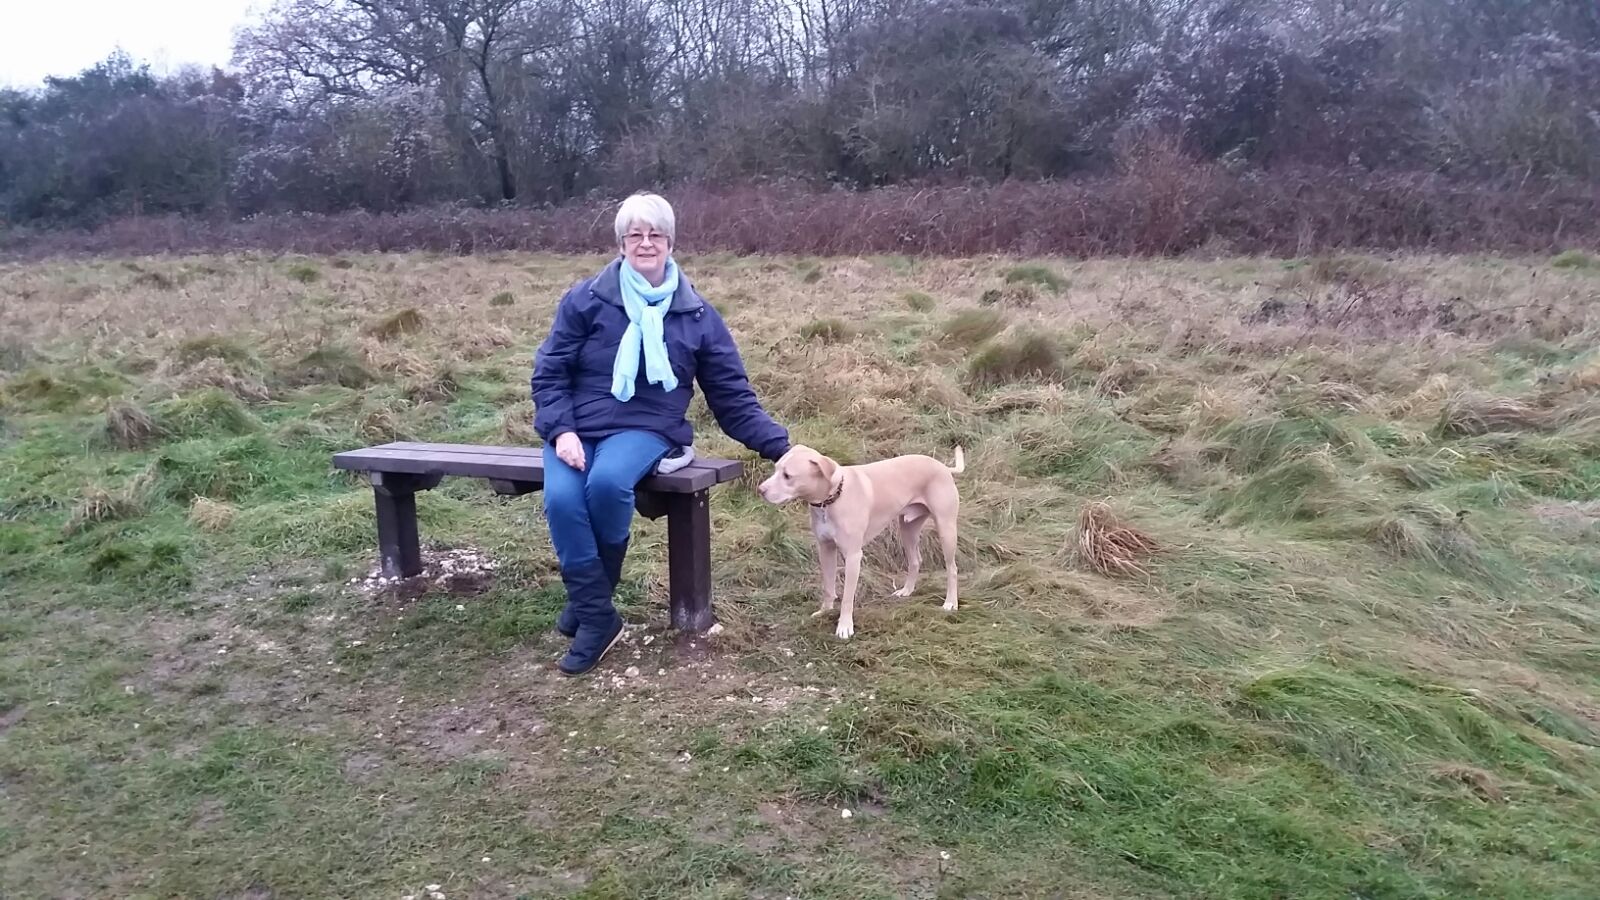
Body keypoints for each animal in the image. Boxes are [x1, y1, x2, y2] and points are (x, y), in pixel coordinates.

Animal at [758, 445, 966, 634]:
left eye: (787, 475)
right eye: (776, 469)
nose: (760, 490)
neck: (832, 499)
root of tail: (943, 467)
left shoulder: (852, 557)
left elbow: (847, 598)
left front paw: (844, 627)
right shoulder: (825, 549)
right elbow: (828, 587)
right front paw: (824, 612)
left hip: (946, 528)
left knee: (952, 568)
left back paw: (950, 603)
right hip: (908, 528)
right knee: (915, 560)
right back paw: (906, 591)